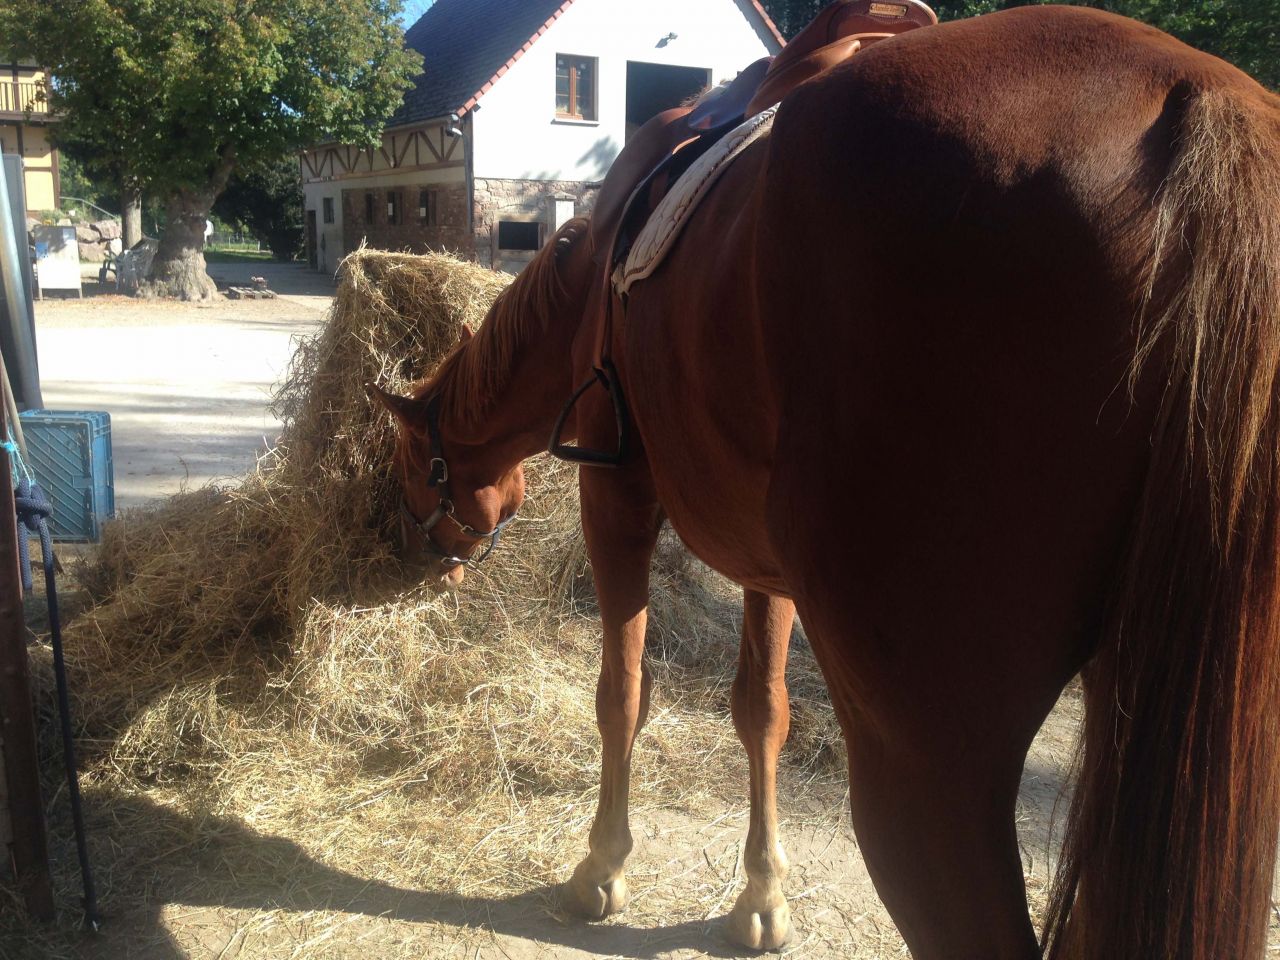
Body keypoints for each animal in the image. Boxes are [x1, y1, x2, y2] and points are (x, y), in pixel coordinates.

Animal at [368, 5, 1280, 957]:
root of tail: (1197, 100)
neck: (592, 274)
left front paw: (602, 868)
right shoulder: (767, 565)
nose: (418, 558)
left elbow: (623, 692)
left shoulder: (615, 498)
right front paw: (762, 894)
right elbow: (762, 710)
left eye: (414, 467)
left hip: (927, 779)